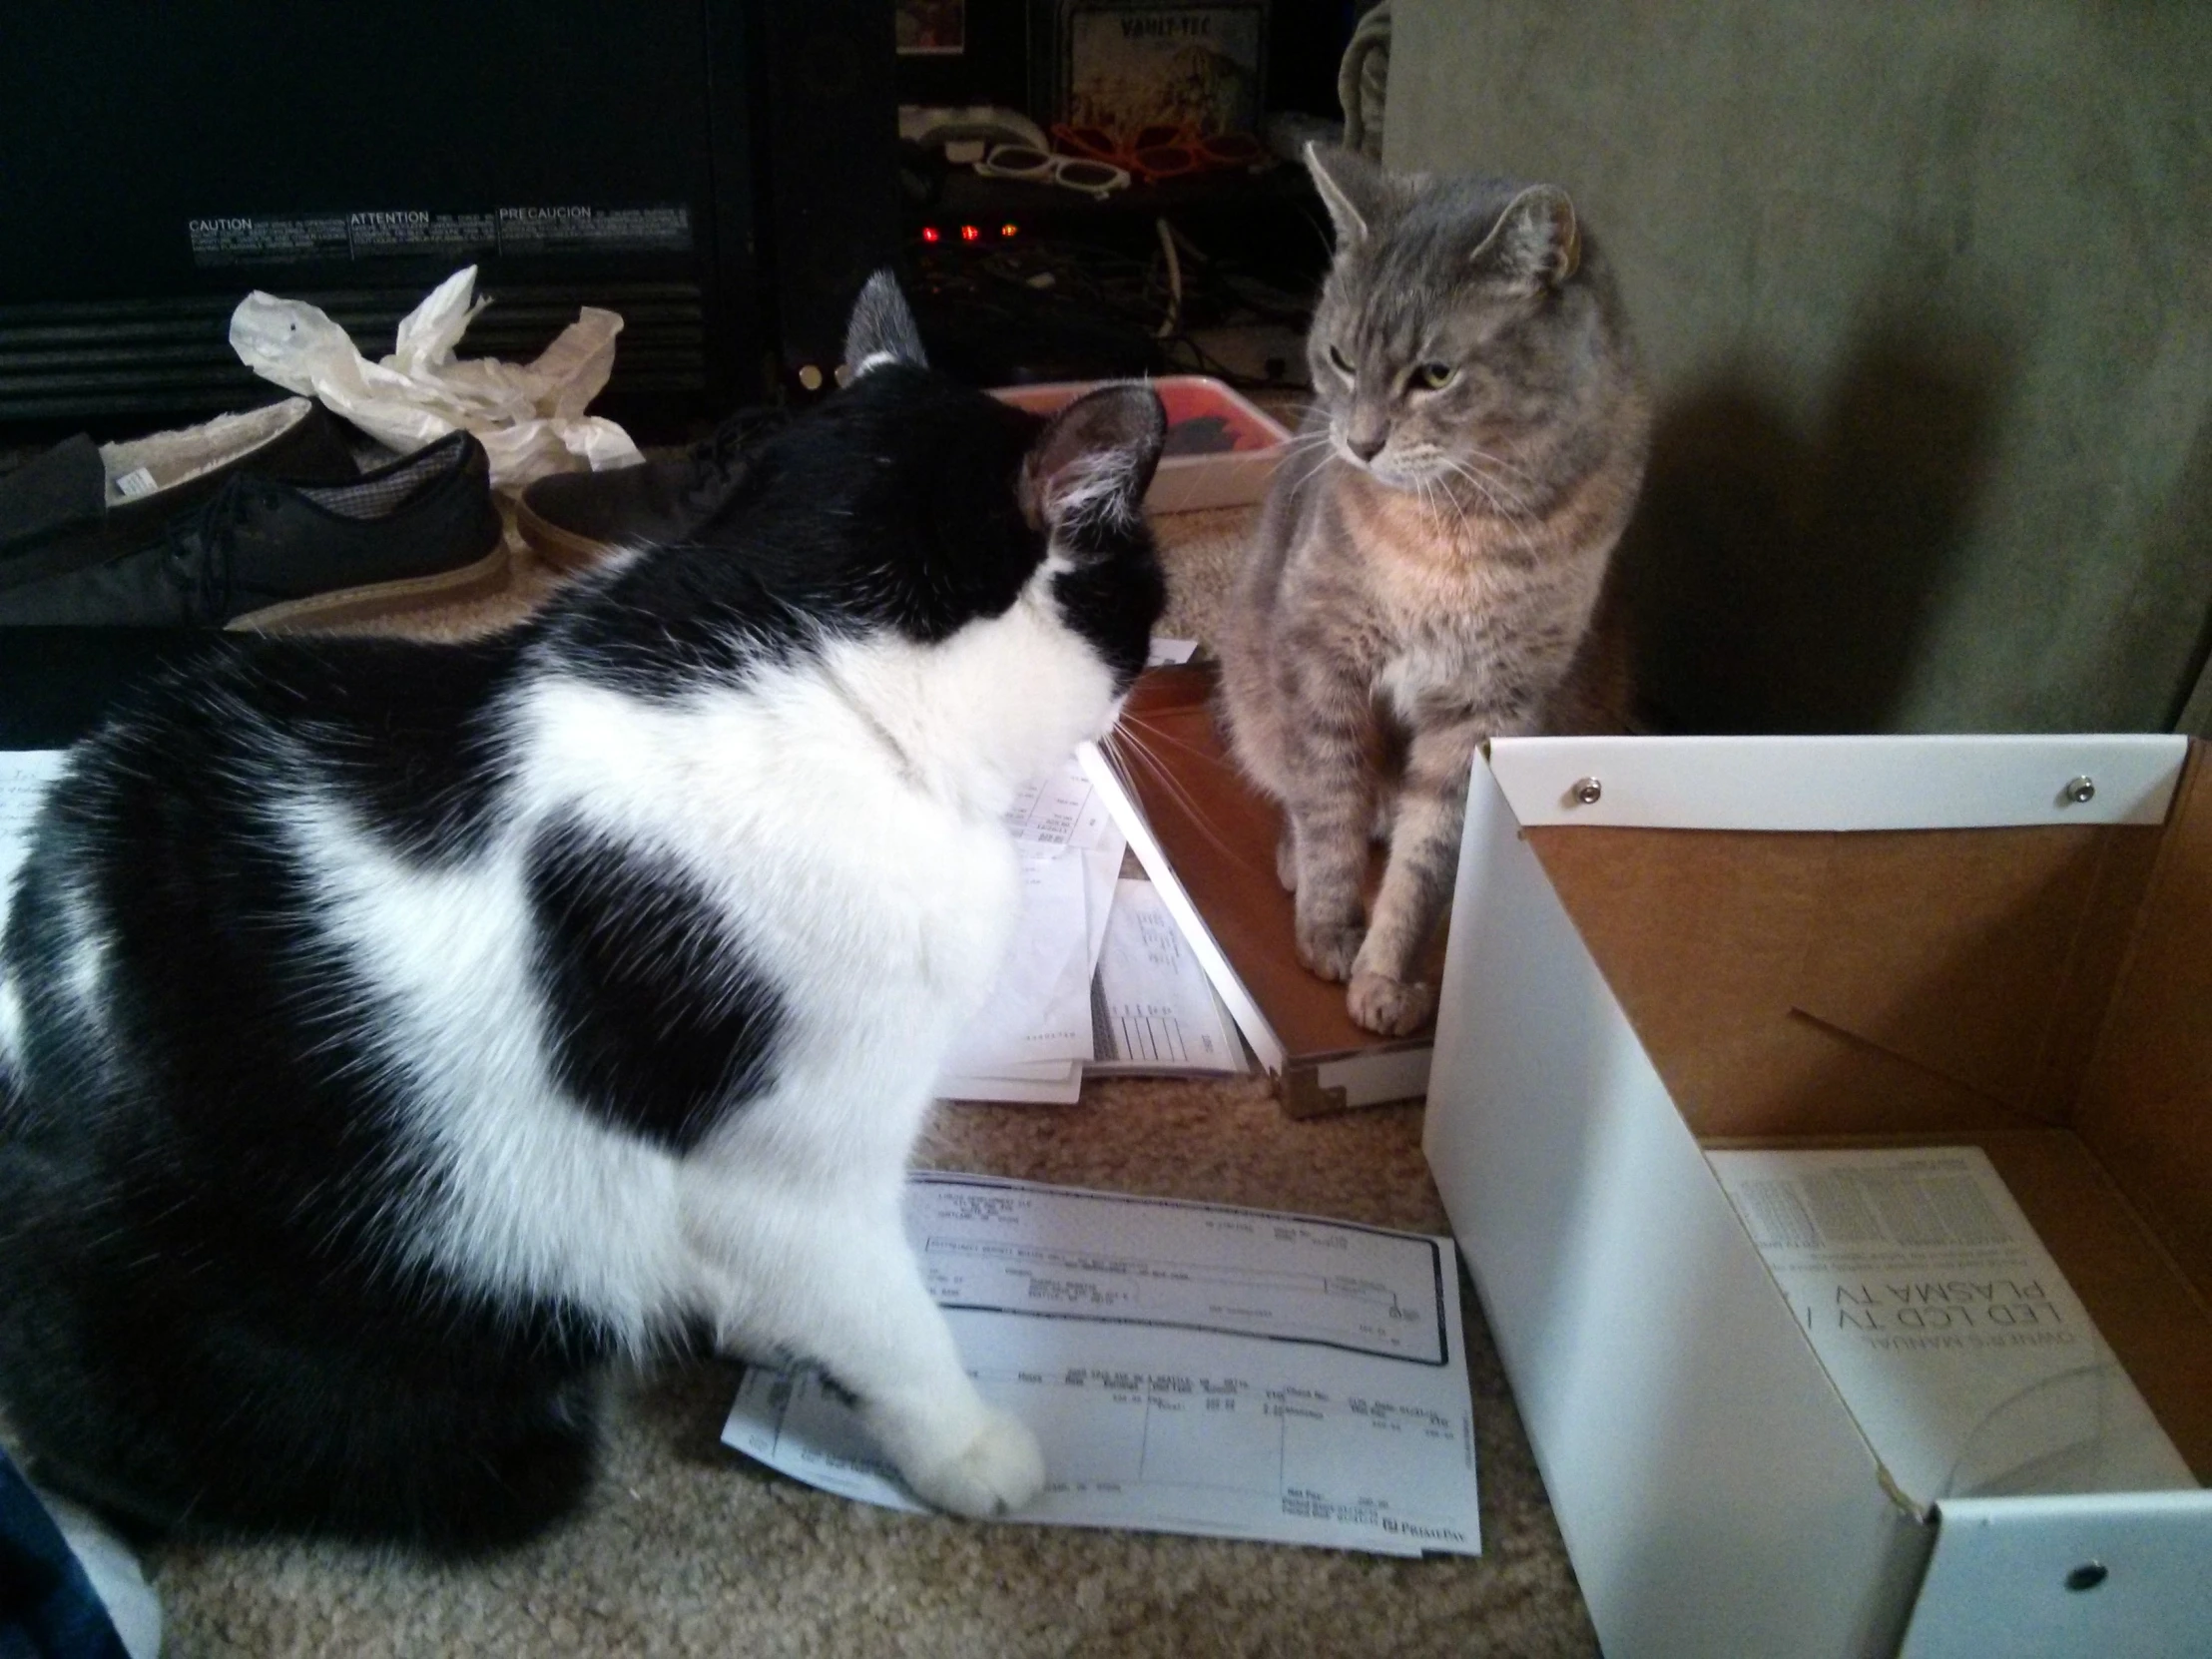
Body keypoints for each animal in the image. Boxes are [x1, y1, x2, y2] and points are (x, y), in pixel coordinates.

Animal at [0, 273, 1176, 1557]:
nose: (1149, 690)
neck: (805, 653)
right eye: (1140, 599)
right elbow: (881, 1317)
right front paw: (962, 1447)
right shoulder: (794, 1163)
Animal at [1221, 152, 1654, 1039]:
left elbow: (1430, 858)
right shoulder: (1322, 656)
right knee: (1297, 789)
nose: (1360, 442)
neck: (1455, 532)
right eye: (1340, 357)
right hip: (1253, 686)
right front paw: (1329, 931)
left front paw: (1387, 977)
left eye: (1436, 374)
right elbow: (1329, 803)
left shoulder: (1486, 712)